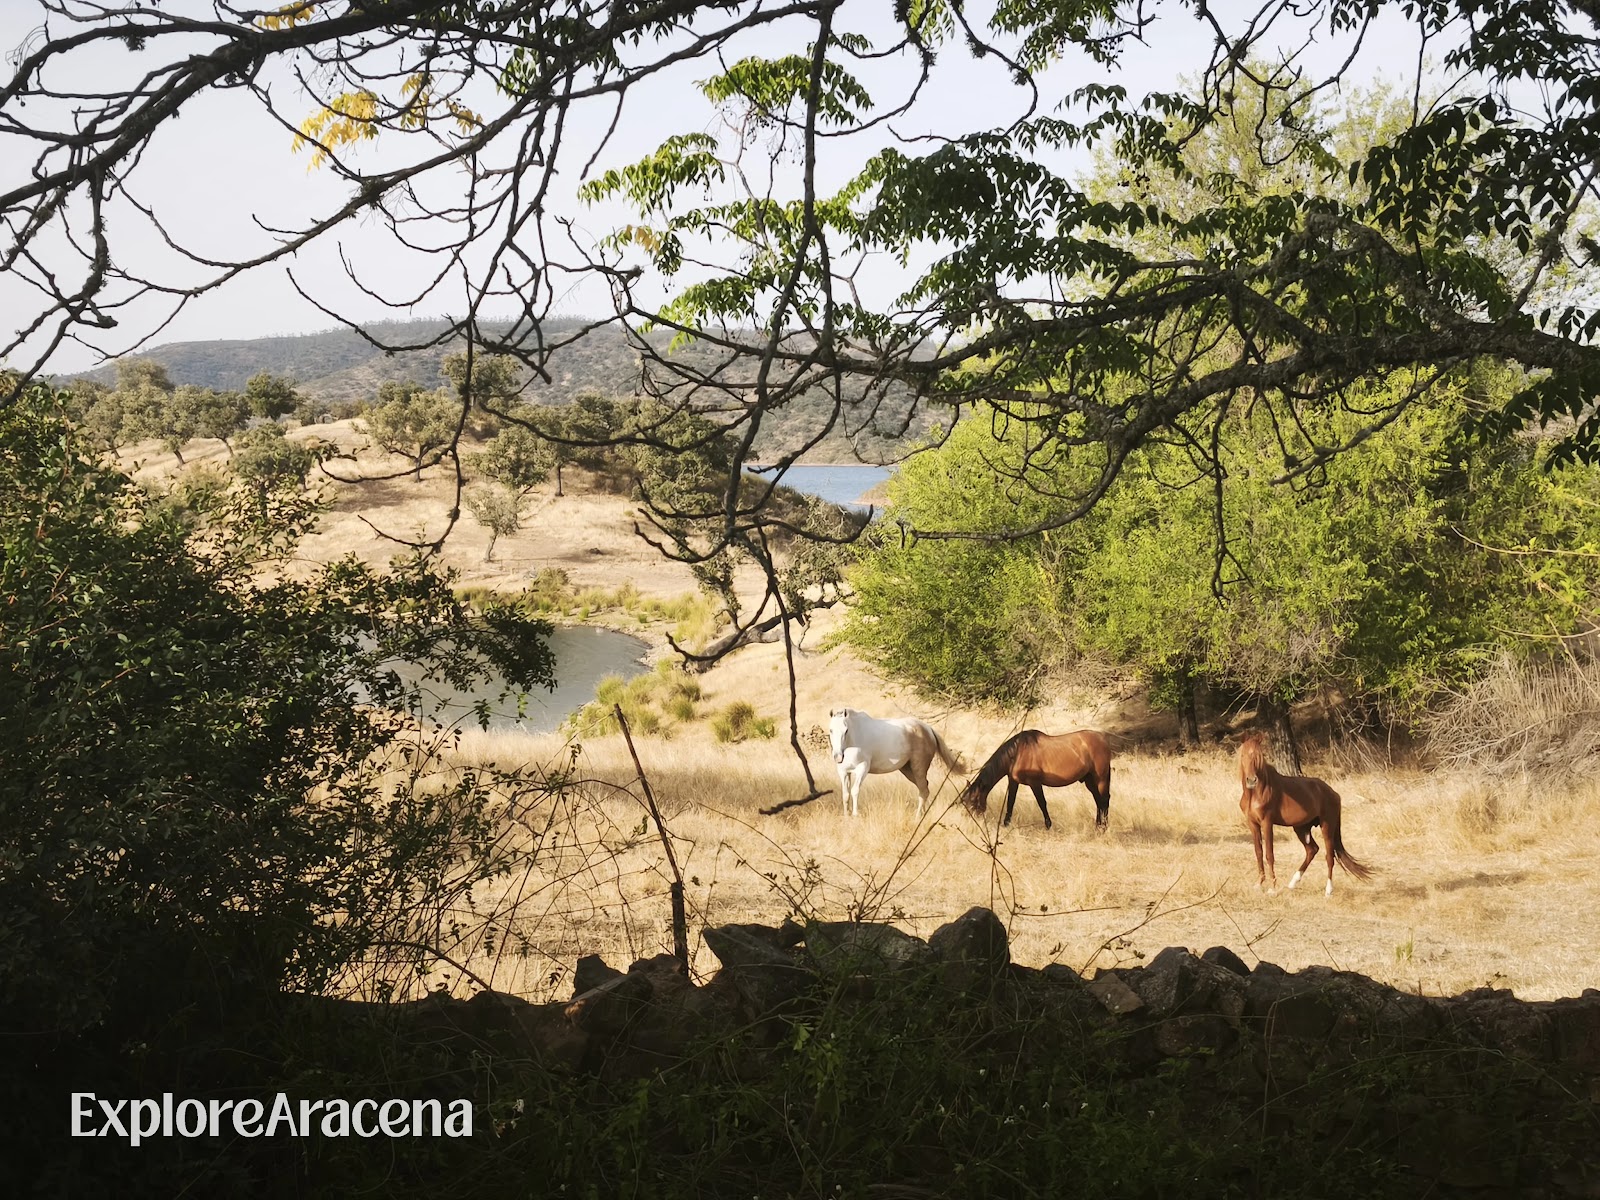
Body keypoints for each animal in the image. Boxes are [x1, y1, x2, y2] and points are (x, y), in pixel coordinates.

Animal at [828, 707, 966, 819]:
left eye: (846, 730)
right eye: (831, 730)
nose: (838, 756)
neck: (852, 742)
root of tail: (928, 729)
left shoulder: (862, 769)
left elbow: (855, 791)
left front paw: (855, 815)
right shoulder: (844, 772)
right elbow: (845, 794)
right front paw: (846, 816)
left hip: (918, 768)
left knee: (924, 790)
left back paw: (917, 816)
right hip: (907, 770)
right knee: (924, 788)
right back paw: (923, 813)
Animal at [959, 729, 1112, 832]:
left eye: (973, 801)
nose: (970, 825)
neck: (1017, 752)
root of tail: (1103, 739)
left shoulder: (1035, 783)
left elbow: (1042, 803)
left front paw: (1048, 826)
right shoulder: (1013, 781)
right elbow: (1010, 803)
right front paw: (1006, 824)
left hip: (1101, 779)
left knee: (1104, 800)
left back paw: (1103, 828)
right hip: (1089, 781)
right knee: (1098, 801)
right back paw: (1097, 826)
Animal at [1237, 735, 1373, 895]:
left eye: (1259, 756)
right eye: (1243, 755)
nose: (1252, 780)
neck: (1256, 793)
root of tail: (1333, 793)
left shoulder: (1267, 822)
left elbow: (1269, 854)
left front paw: (1272, 888)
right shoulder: (1252, 824)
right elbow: (1258, 852)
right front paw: (1258, 884)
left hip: (1327, 826)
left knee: (1329, 856)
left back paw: (1328, 890)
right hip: (1301, 828)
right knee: (1312, 850)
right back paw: (1293, 883)